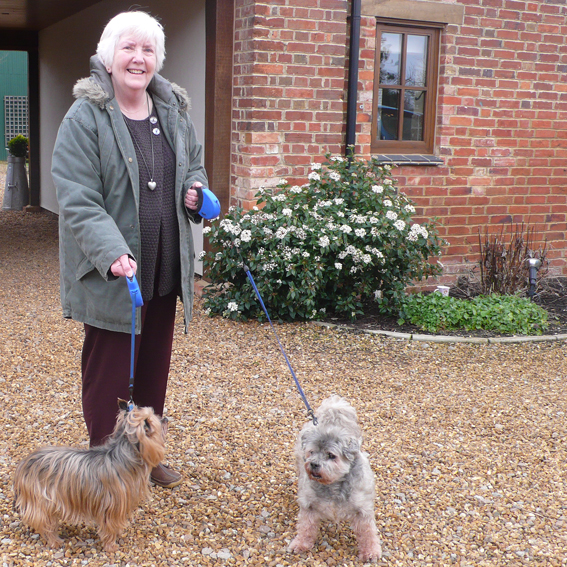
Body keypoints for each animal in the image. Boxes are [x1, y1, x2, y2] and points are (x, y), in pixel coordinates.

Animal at [288, 398, 382, 560]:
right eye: (311, 452)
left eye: (331, 455)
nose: (313, 464)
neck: (333, 484)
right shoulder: (308, 505)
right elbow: (305, 527)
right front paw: (300, 544)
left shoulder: (362, 510)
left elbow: (367, 532)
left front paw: (371, 551)